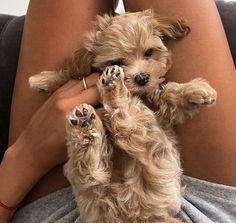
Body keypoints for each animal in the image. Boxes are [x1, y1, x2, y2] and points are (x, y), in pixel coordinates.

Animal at [29, 10, 218, 223]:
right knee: (94, 170)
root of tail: (134, 214)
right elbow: (72, 72)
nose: (142, 78)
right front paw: (43, 80)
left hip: (154, 156)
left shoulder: (158, 102)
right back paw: (92, 115)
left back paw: (106, 98)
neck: (140, 93)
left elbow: (167, 92)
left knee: (121, 128)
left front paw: (197, 91)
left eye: (149, 52)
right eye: (117, 61)